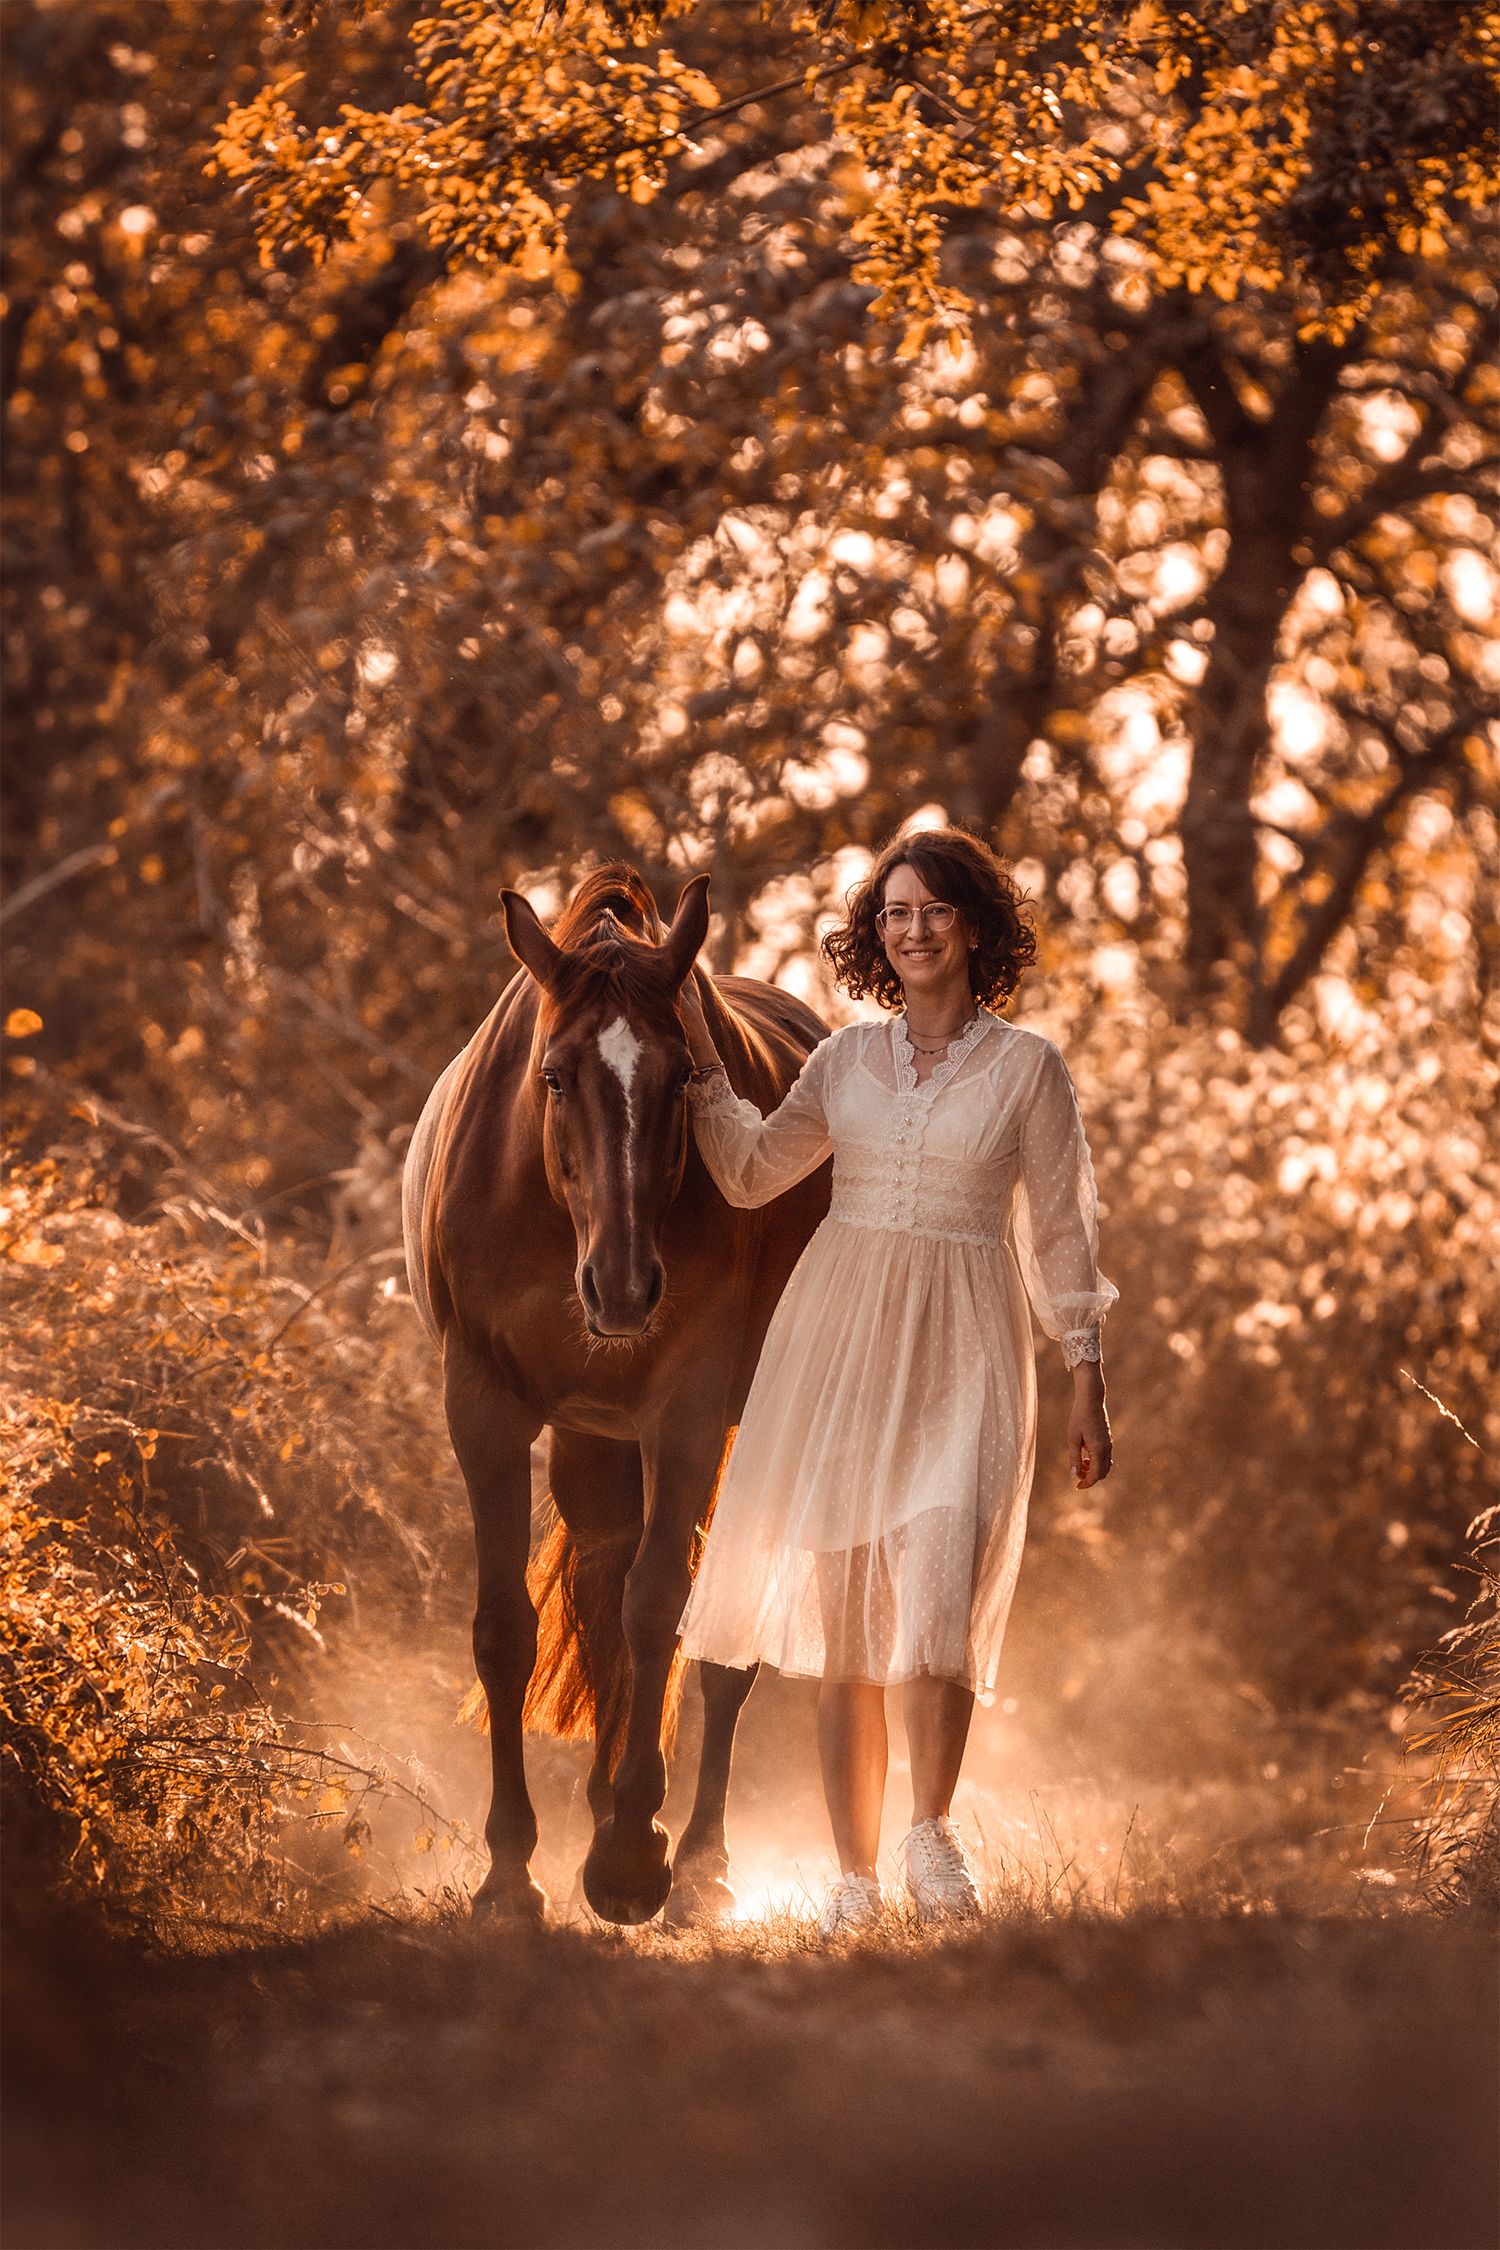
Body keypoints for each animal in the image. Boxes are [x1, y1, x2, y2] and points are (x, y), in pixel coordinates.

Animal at [402, 863, 830, 1924]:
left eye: (685, 1078)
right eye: (553, 1077)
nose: (626, 1287)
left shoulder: (685, 1417)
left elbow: (659, 1609)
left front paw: (634, 1854)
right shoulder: (484, 1409)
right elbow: (507, 1630)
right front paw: (510, 1871)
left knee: (713, 1653)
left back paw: (701, 1864)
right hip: (593, 1435)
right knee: (598, 1589)